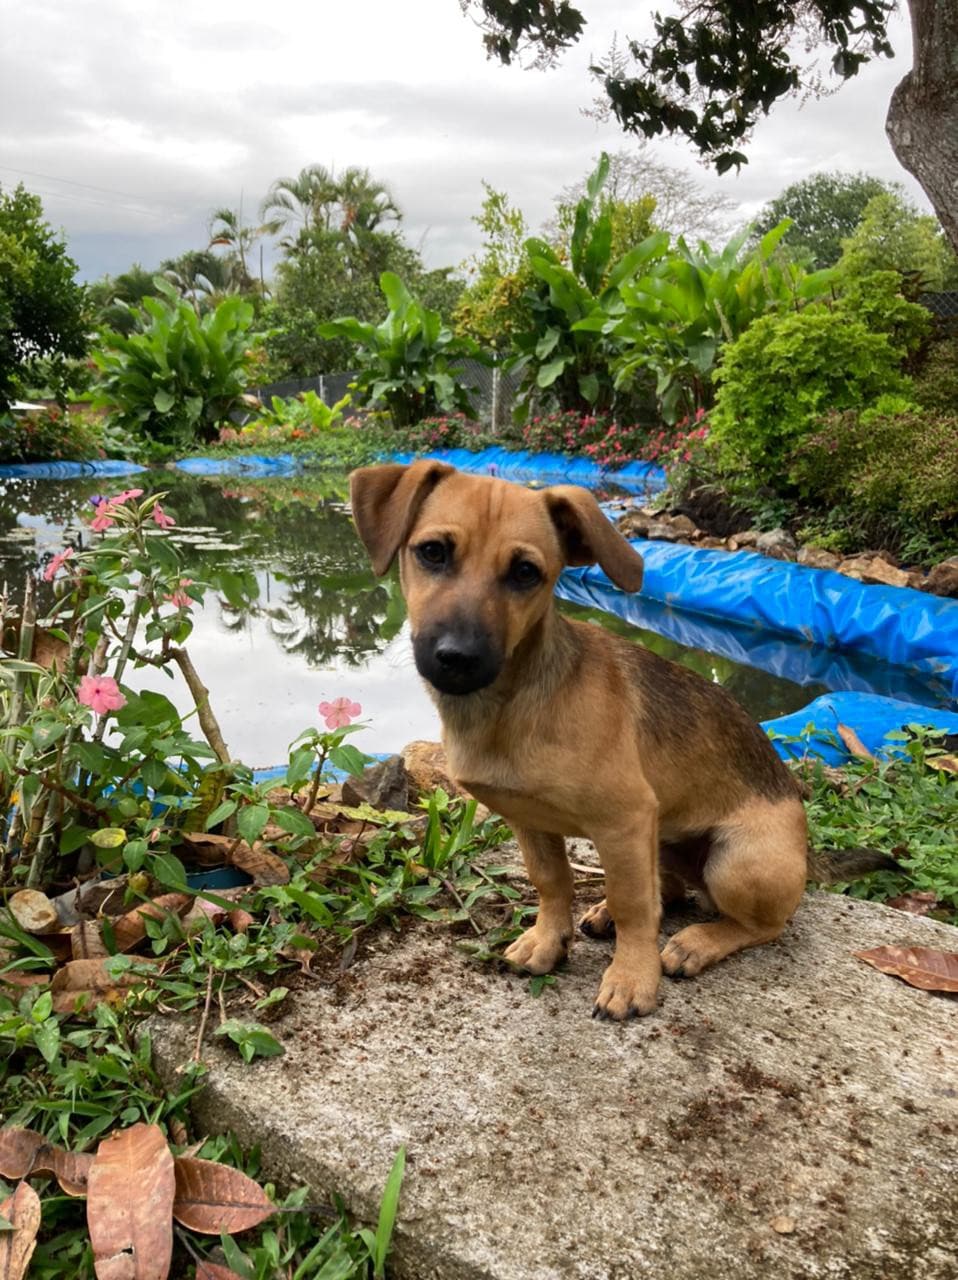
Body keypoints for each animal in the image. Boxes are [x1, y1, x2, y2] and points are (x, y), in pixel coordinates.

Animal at [345, 460, 809, 1018]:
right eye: (432, 552)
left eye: (526, 572)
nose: (457, 658)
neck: (514, 706)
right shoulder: (527, 818)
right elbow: (553, 882)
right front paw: (549, 942)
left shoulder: (625, 818)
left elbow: (636, 907)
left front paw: (632, 978)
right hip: (663, 838)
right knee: (670, 889)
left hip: (735, 862)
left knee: (762, 924)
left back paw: (697, 942)